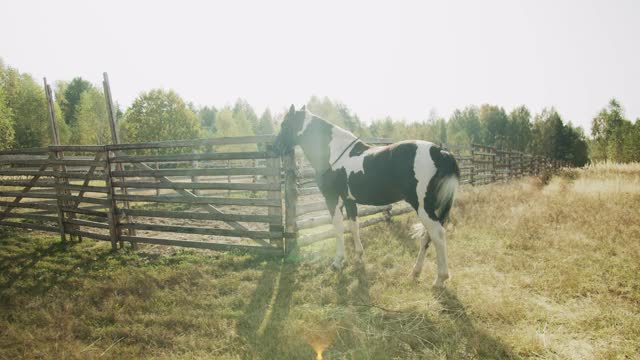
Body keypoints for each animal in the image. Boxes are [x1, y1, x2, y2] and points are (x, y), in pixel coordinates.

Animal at [272, 105, 458, 286]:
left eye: (284, 124)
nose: (273, 148)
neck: (333, 154)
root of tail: (439, 152)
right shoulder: (349, 201)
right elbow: (354, 226)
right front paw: (358, 257)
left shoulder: (332, 199)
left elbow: (338, 227)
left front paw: (338, 261)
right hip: (433, 207)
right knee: (428, 236)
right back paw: (416, 271)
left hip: (423, 206)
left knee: (437, 234)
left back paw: (440, 279)